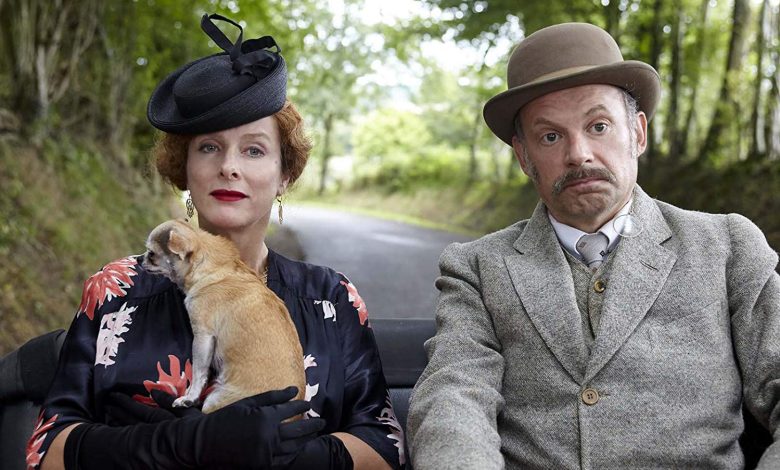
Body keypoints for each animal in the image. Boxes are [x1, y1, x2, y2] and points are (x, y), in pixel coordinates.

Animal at [142, 219, 305, 413]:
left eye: (152, 254)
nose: (140, 259)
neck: (208, 265)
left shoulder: (203, 336)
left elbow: (199, 372)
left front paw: (189, 398)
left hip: (214, 400)